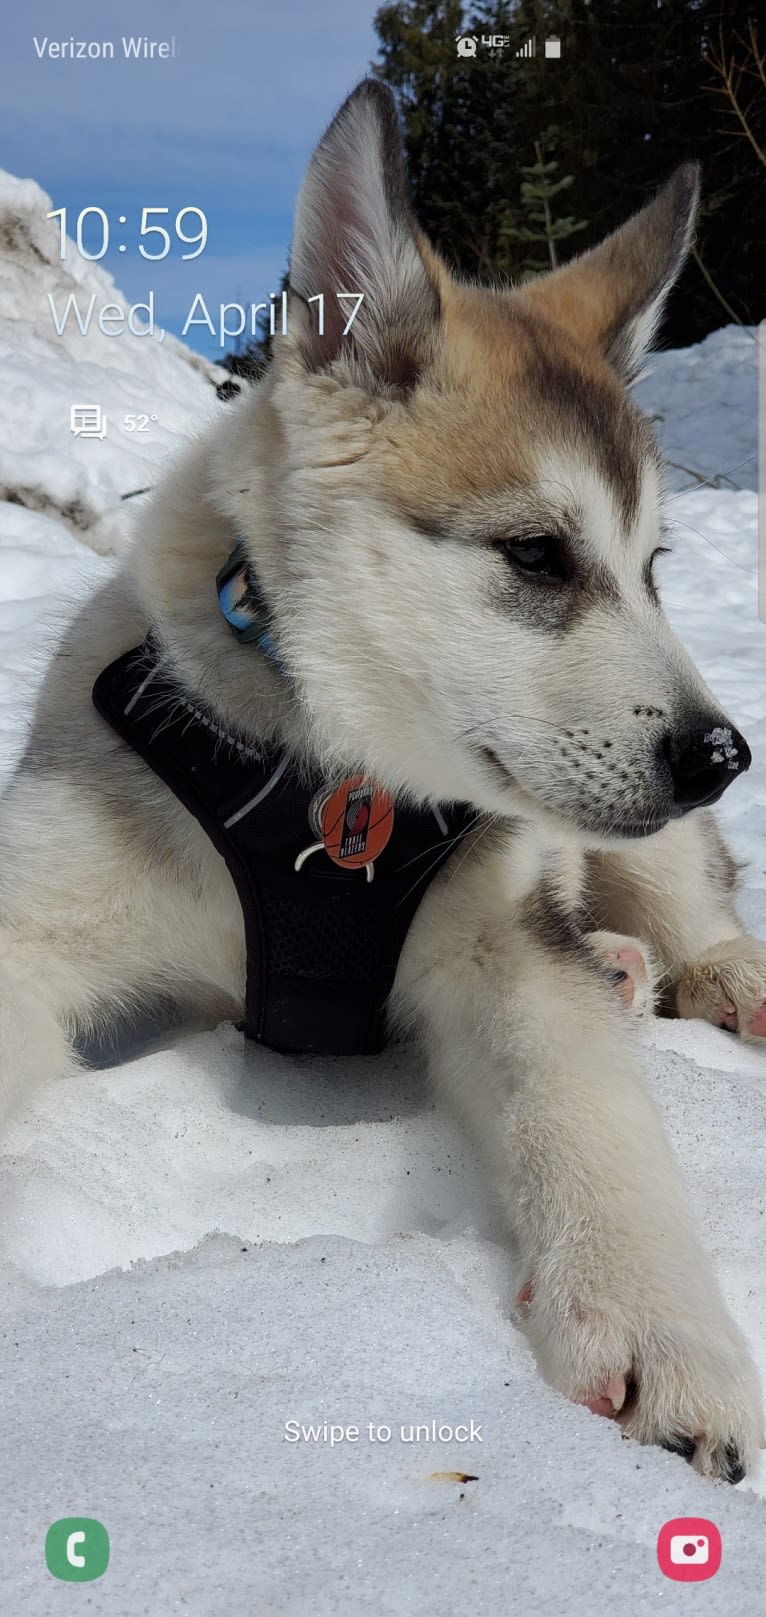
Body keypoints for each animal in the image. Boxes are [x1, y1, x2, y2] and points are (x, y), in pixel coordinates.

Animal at [1, 85, 766, 1481]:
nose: (724, 757)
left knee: (685, 895)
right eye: (536, 555)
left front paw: (662, 1331)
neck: (335, 784)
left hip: (633, 839)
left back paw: (701, 966)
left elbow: (591, 1117)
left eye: (653, 569)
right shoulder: (40, 913)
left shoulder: (507, 949)